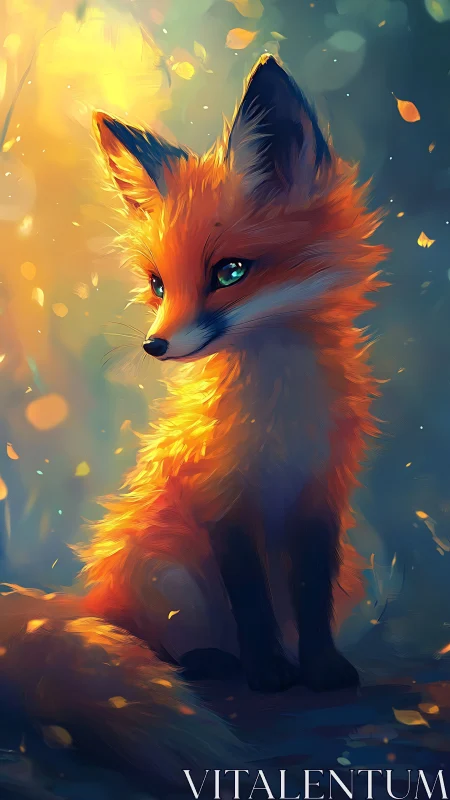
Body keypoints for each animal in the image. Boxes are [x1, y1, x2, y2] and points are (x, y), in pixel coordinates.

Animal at [0, 55, 387, 781]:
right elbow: (252, 599)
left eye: (230, 272)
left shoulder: (321, 492)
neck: (276, 419)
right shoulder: (220, 495)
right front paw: (270, 674)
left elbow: (308, 593)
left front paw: (320, 670)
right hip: (165, 576)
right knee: (156, 638)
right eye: (158, 284)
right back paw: (209, 660)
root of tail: (94, 599)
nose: (155, 346)